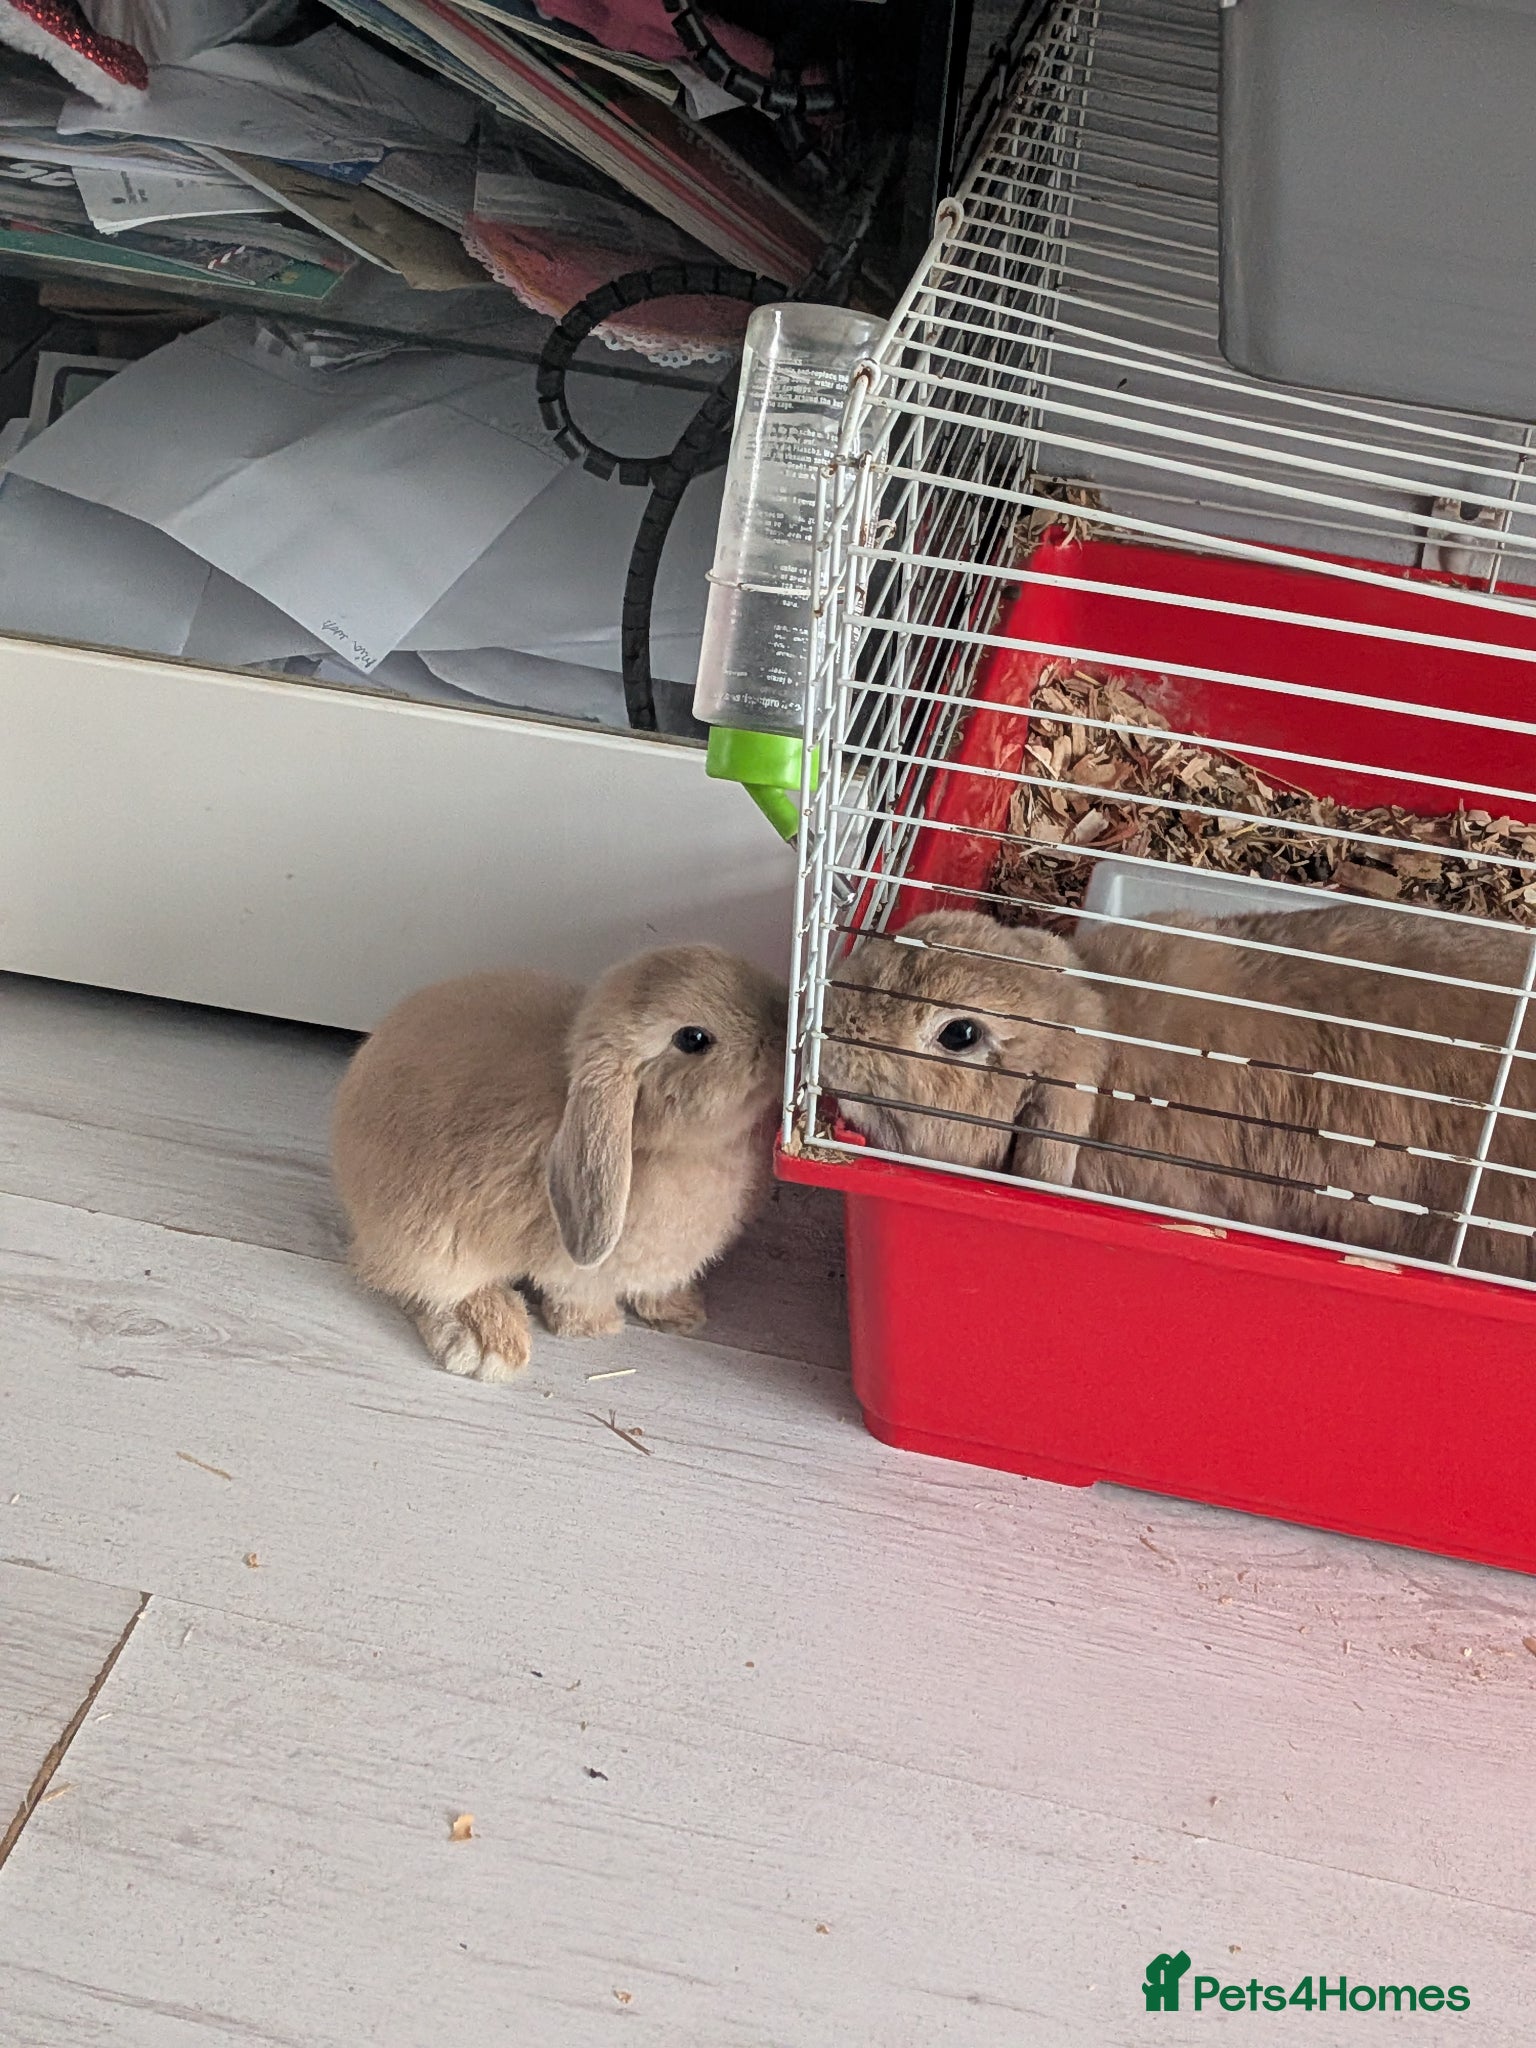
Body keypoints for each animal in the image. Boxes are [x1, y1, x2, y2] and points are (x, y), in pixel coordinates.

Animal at [331, 945, 788, 1382]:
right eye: (693, 1038)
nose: (782, 1020)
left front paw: (683, 1312)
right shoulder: (578, 1270)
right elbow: (578, 1298)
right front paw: (597, 1328)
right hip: (434, 1243)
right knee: (421, 1287)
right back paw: (491, 1343)